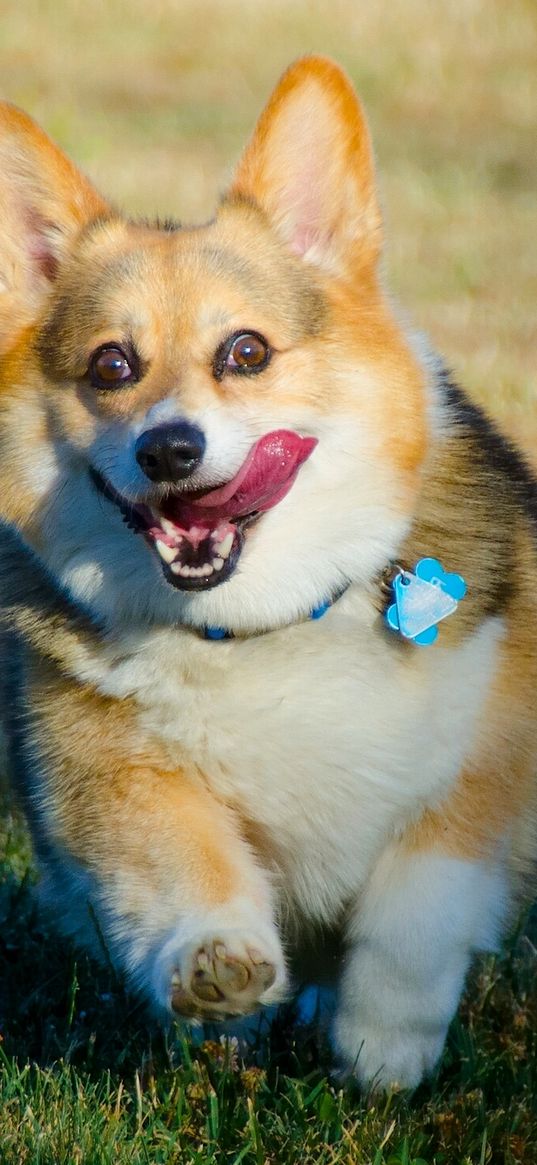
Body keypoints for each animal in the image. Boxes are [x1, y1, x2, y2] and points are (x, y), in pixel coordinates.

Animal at [1, 54, 535, 1090]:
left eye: (244, 351)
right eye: (111, 364)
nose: (170, 449)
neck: (261, 623)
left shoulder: (484, 761)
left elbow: (417, 911)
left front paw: (382, 1052)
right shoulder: (110, 773)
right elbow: (180, 867)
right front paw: (216, 964)